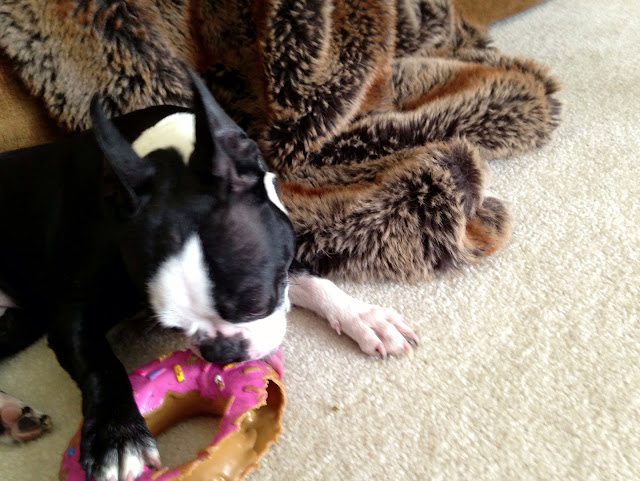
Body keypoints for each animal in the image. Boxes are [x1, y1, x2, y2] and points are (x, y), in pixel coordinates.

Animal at [0, 67, 417, 480]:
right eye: (170, 325)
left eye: (256, 305)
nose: (221, 352)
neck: (169, 157)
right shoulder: (70, 314)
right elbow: (100, 365)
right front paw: (116, 436)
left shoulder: (279, 244)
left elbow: (311, 280)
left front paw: (364, 317)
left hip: (21, 323)